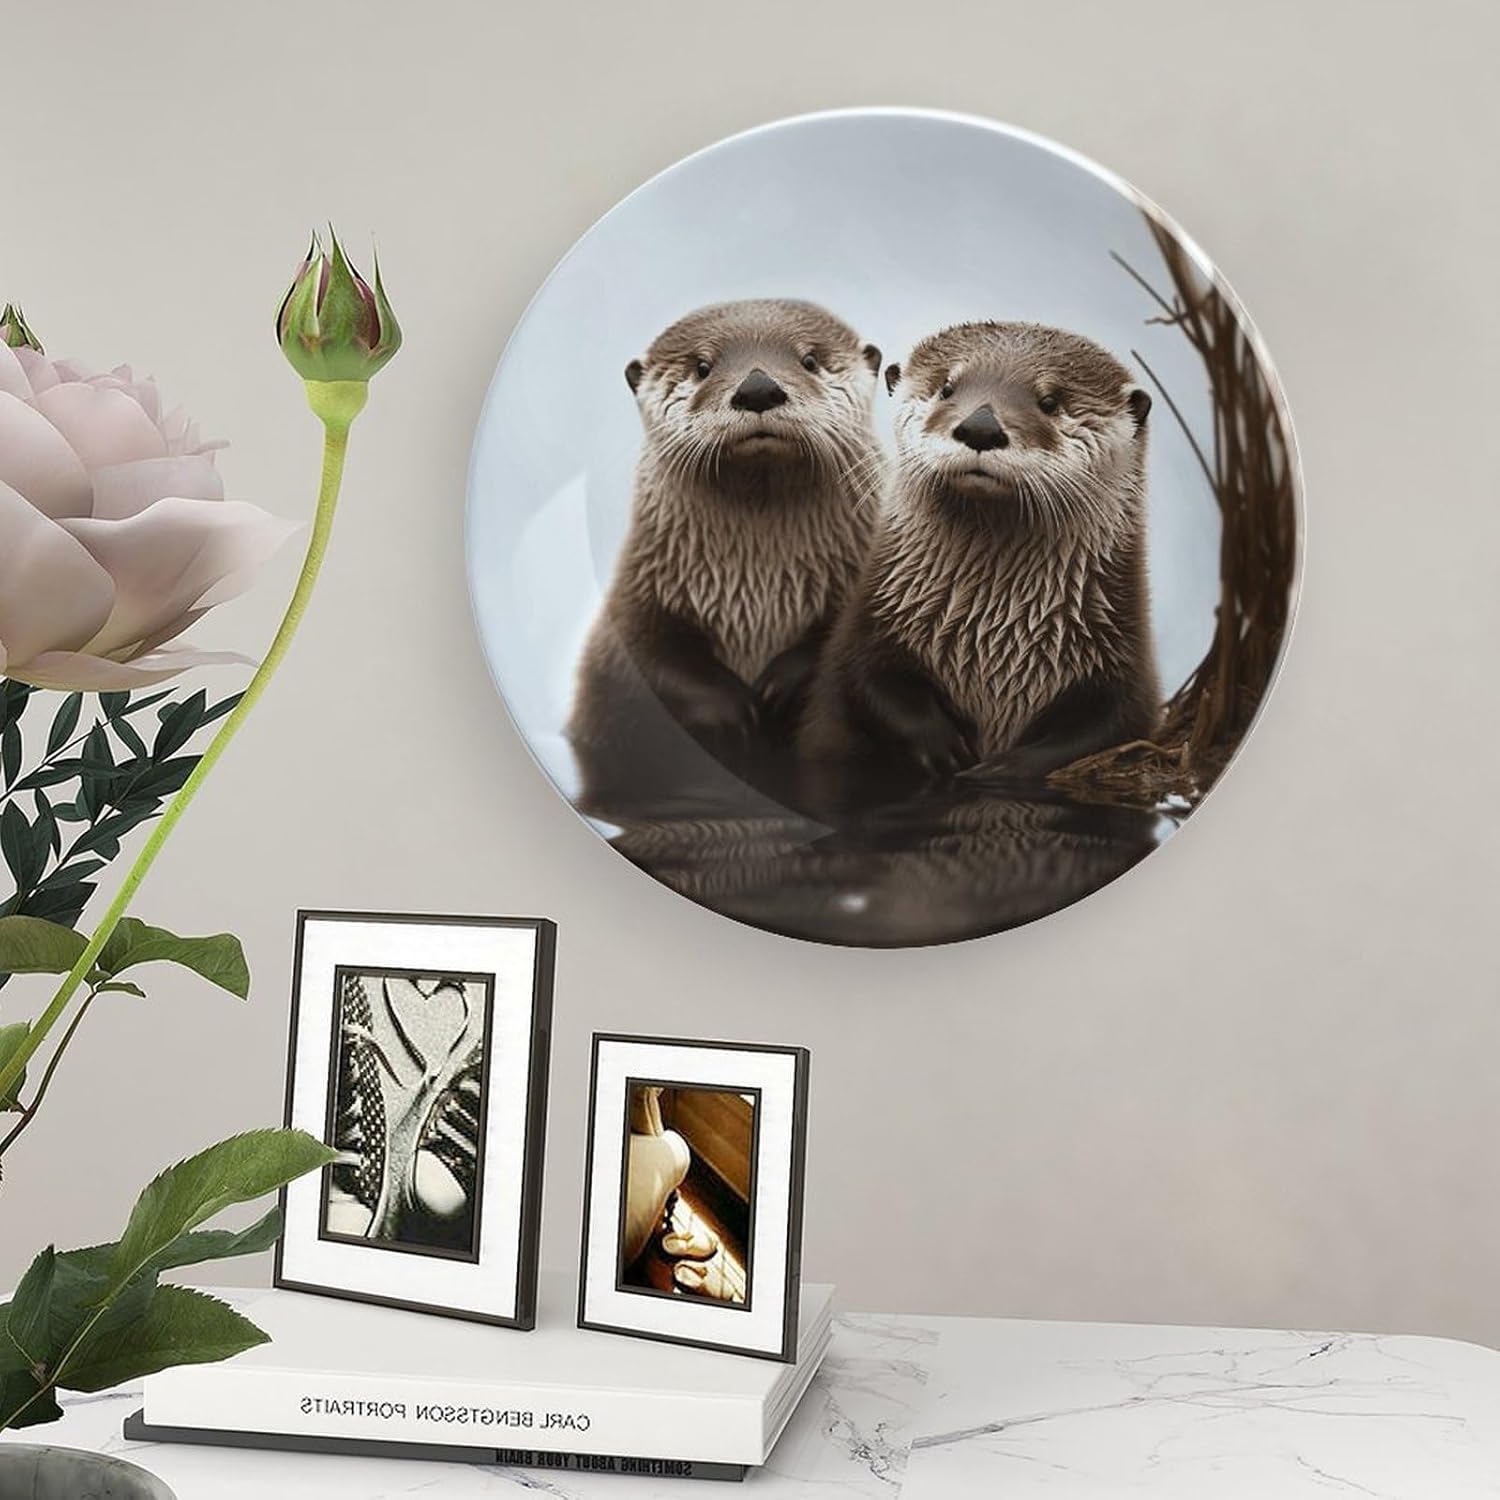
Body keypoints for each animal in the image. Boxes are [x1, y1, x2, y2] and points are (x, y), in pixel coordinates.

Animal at [569, 299, 883, 813]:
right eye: (702, 366)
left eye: (809, 360)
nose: (758, 388)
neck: (760, 586)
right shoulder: (638, 589)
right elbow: (646, 650)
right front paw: (732, 708)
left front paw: (780, 686)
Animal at [801, 321, 1160, 786]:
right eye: (947, 387)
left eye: (1050, 401)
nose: (981, 428)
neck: (992, 633)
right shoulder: (868, 624)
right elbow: (864, 679)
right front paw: (942, 745)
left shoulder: (1122, 656)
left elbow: (1114, 726)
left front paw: (1006, 766)